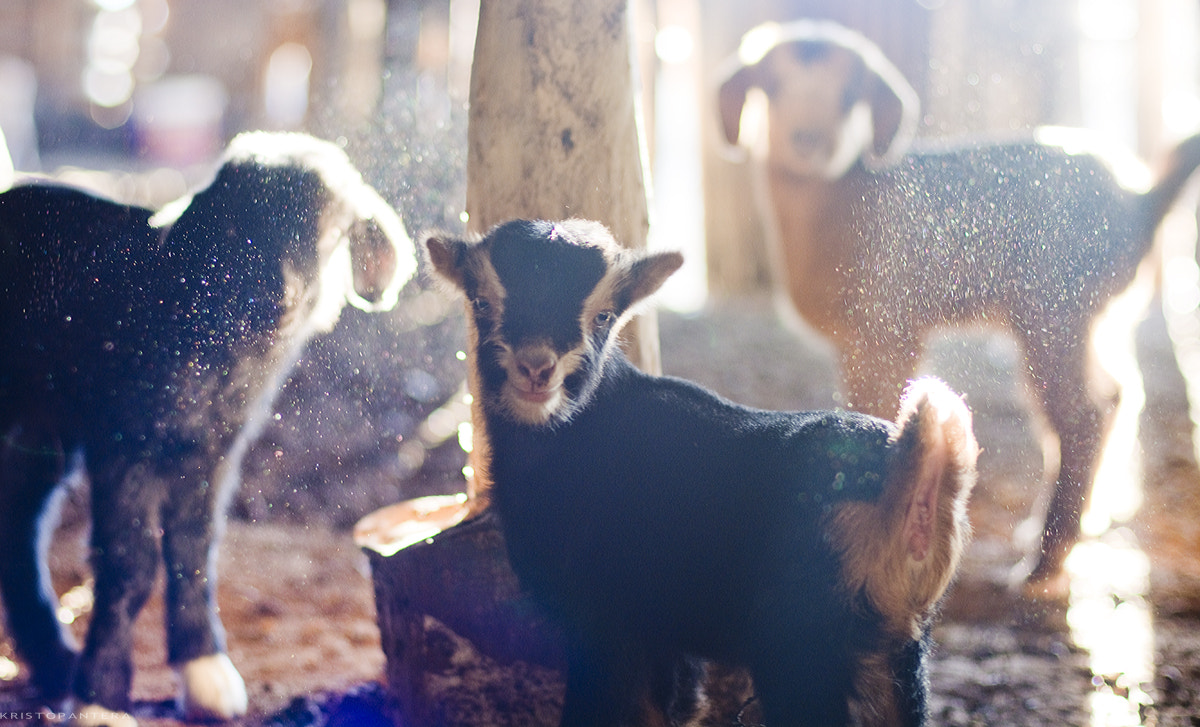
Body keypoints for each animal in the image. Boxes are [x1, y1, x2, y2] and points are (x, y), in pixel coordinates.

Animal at [0, 132, 415, 727]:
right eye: (237, 225)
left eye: (332, 233)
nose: (278, 296)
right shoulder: (124, 436)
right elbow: (130, 563)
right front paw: (103, 696)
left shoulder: (214, 451)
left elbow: (194, 548)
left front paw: (203, 670)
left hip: (38, 423)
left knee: (17, 517)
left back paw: (54, 660)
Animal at [427, 220, 979, 727]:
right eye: (480, 301)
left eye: (603, 315)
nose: (537, 368)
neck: (587, 427)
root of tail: (908, 467)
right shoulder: (662, 635)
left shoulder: (605, 621)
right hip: (895, 649)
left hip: (803, 647)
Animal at [715, 18, 1200, 592]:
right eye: (770, 85)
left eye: (852, 93)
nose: (808, 142)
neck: (844, 200)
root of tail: (1140, 203)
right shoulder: (859, 341)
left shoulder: (887, 328)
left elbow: (881, 413)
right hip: (1095, 314)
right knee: (1115, 396)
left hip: (1054, 309)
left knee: (1082, 414)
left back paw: (1042, 560)